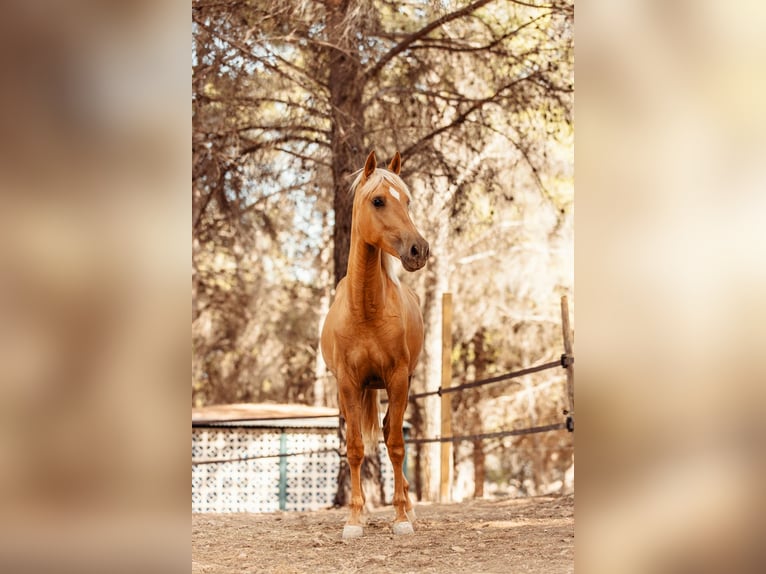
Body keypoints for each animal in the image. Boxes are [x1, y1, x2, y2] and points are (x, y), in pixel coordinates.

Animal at [322, 150, 432, 540]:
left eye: (408, 201)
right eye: (379, 200)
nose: (419, 250)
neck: (366, 310)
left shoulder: (398, 378)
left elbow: (396, 445)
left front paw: (400, 518)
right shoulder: (348, 384)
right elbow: (355, 448)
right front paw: (354, 520)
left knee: (389, 432)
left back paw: (408, 507)